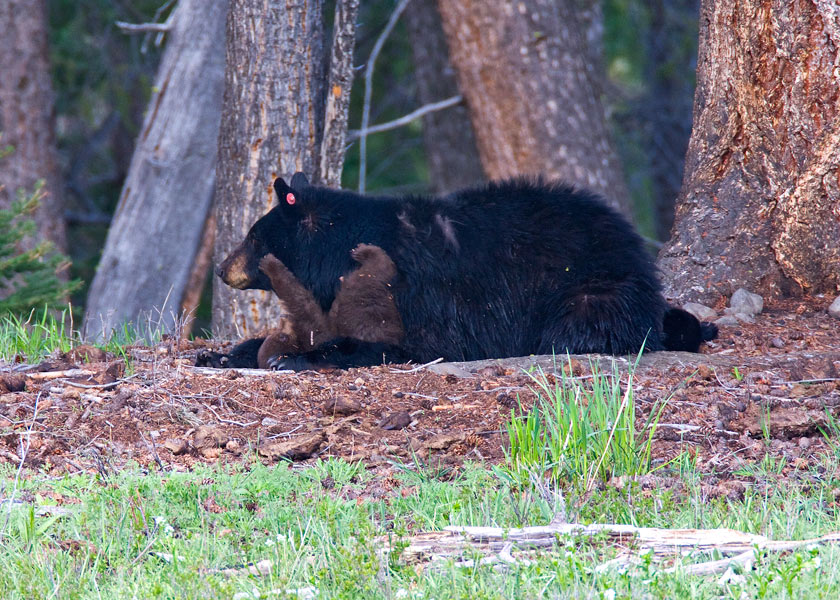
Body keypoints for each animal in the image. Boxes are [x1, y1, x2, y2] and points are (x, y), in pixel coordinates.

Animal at [203, 172, 716, 370]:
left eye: (252, 236)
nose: (221, 269)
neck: (335, 255)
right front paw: (223, 353)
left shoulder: (412, 300)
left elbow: (379, 342)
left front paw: (294, 358)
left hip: (592, 287)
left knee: (585, 325)